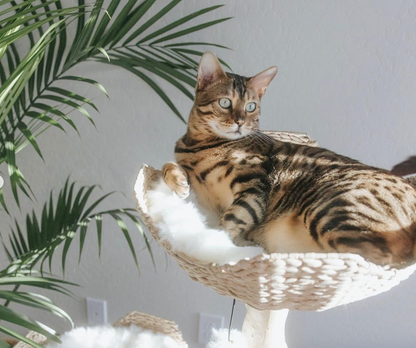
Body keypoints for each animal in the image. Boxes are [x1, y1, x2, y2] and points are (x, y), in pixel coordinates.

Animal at [162, 51, 416, 266]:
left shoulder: (254, 188)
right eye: (225, 102)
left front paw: (217, 246)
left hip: (331, 207)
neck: (200, 146)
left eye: (251, 106)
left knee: (375, 259)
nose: (240, 122)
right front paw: (178, 182)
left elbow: (231, 221)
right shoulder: (199, 187)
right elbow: (169, 166)